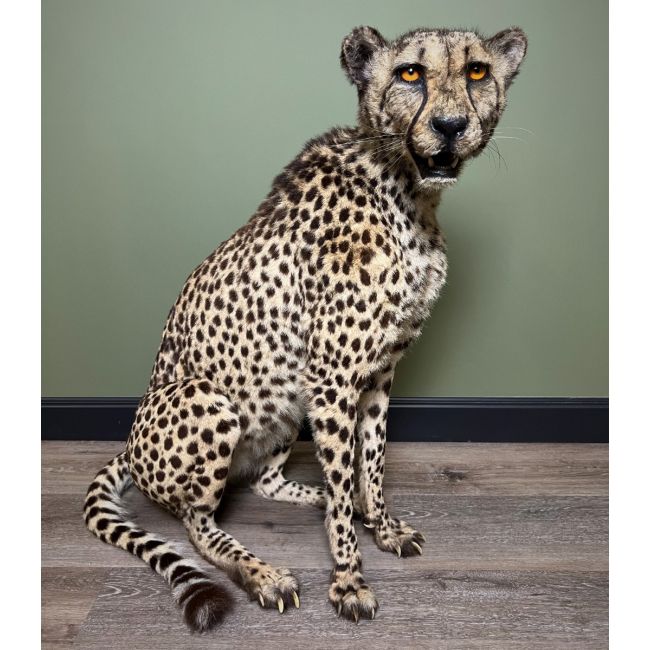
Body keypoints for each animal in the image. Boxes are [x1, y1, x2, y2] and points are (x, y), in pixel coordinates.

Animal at [84, 25, 527, 631]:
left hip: (288, 397)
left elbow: (372, 462)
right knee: (195, 524)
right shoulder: (335, 379)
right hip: (213, 400)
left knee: (266, 481)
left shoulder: (379, 374)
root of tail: (129, 446)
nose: (450, 126)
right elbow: (342, 487)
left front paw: (379, 523)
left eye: (477, 71)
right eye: (410, 73)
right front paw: (348, 581)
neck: (408, 192)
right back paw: (263, 573)